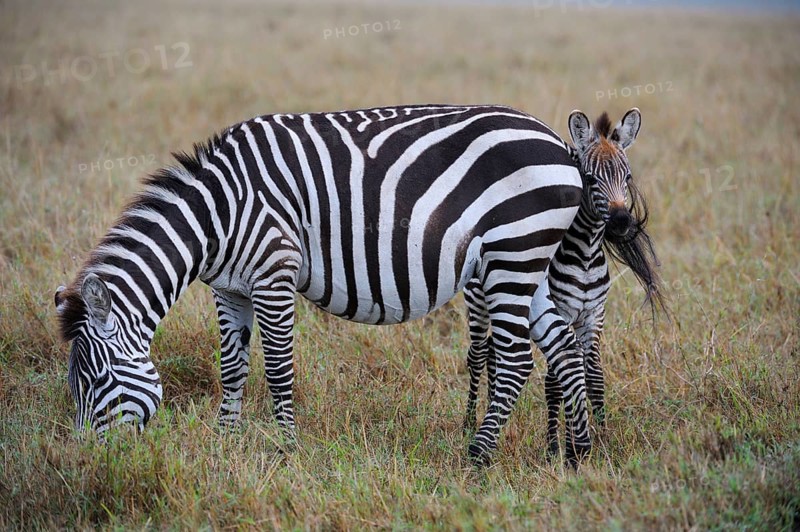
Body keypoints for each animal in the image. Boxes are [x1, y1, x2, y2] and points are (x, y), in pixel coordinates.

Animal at [54, 104, 591, 464]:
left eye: (96, 382)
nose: (85, 462)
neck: (217, 216)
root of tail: (561, 145)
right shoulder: (229, 289)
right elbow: (231, 368)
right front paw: (225, 442)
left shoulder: (273, 274)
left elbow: (277, 369)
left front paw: (286, 450)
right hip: (526, 262)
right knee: (563, 347)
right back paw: (575, 454)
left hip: (512, 254)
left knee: (518, 360)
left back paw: (478, 457)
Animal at [463, 108, 664, 462]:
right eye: (590, 179)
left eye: (627, 178)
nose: (622, 222)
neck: (584, 255)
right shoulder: (560, 310)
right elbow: (555, 382)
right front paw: (556, 446)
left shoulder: (594, 314)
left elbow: (593, 373)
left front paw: (601, 434)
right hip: (478, 301)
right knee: (477, 354)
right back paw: (468, 423)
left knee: (494, 354)